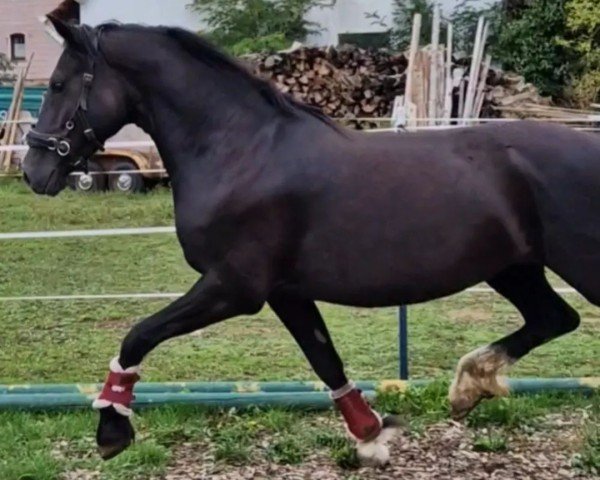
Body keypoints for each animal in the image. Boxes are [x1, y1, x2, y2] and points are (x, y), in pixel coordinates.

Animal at [22, 17, 600, 464]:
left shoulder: (233, 287)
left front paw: (112, 431)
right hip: (513, 267)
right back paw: (468, 387)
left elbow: (138, 335)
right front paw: (371, 437)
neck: (240, 151)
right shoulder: (286, 292)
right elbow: (325, 359)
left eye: (57, 85)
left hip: (571, 265)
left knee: (559, 318)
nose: (33, 170)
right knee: (554, 318)